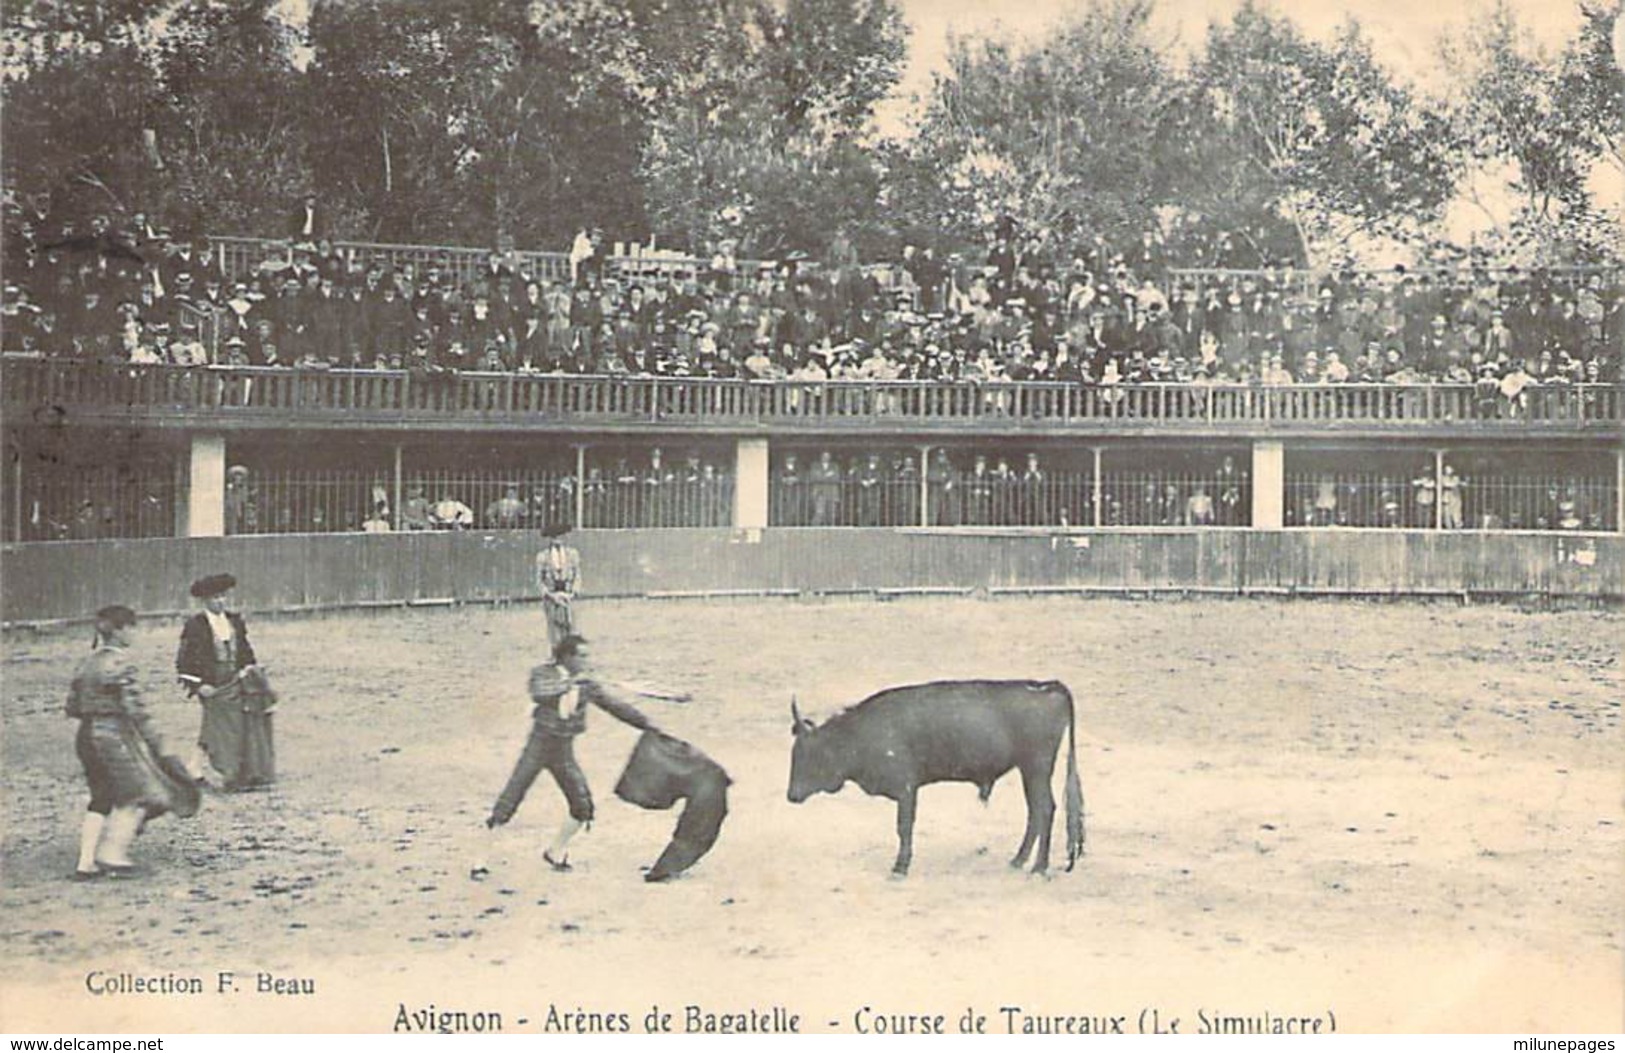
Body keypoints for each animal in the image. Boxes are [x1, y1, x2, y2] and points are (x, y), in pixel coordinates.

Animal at [789, 679, 1092, 877]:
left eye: (806, 754)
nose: (791, 795)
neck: (859, 734)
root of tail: (1047, 686)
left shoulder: (906, 789)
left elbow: (904, 827)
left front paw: (900, 867)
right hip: (1029, 771)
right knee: (1035, 811)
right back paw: (1019, 860)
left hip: (1036, 768)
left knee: (1045, 809)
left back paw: (1039, 867)